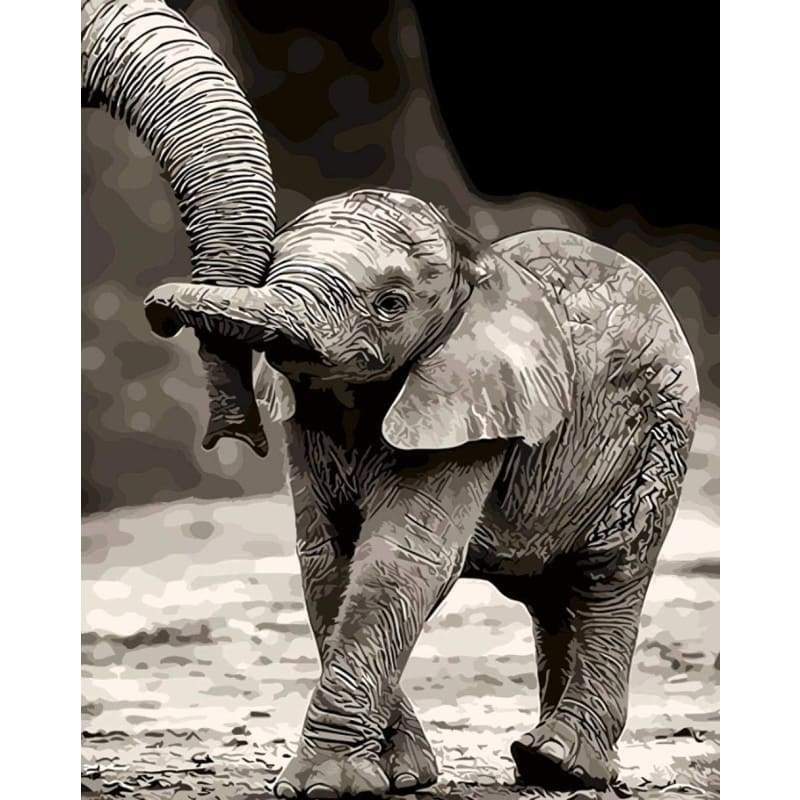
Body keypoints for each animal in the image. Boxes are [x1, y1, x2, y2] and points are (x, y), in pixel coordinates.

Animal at [83, 2, 699, 797]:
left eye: (392, 304)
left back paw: (563, 763)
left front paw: (325, 786)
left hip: (662, 428)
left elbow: (398, 561)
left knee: (608, 573)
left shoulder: (472, 414)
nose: (233, 436)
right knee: (551, 594)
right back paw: (537, 759)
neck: (473, 258)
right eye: (274, 268)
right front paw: (399, 776)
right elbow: (326, 562)